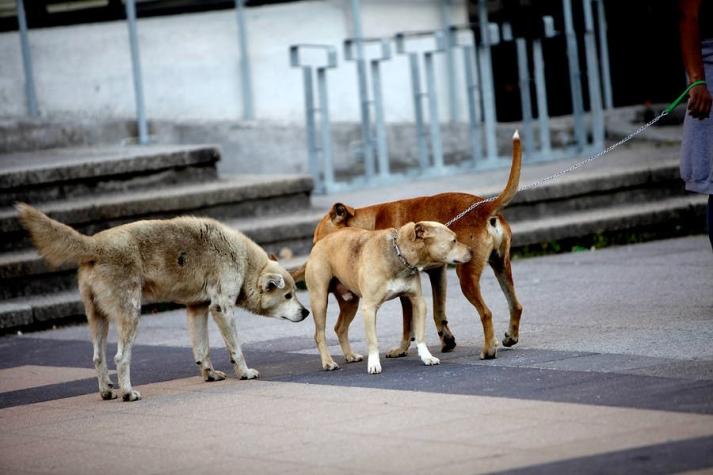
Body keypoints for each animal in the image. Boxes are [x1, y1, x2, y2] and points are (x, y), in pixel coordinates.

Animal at [304, 221, 470, 374]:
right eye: (454, 240)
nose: (471, 251)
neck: (399, 254)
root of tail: (320, 242)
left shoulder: (418, 302)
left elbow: (420, 335)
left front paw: (426, 357)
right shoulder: (370, 308)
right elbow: (373, 341)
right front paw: (374, 364)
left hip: (350, 303)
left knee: (340, 328)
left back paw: (350, 355)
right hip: (319, 301)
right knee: (319, 334)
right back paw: (328, 362)